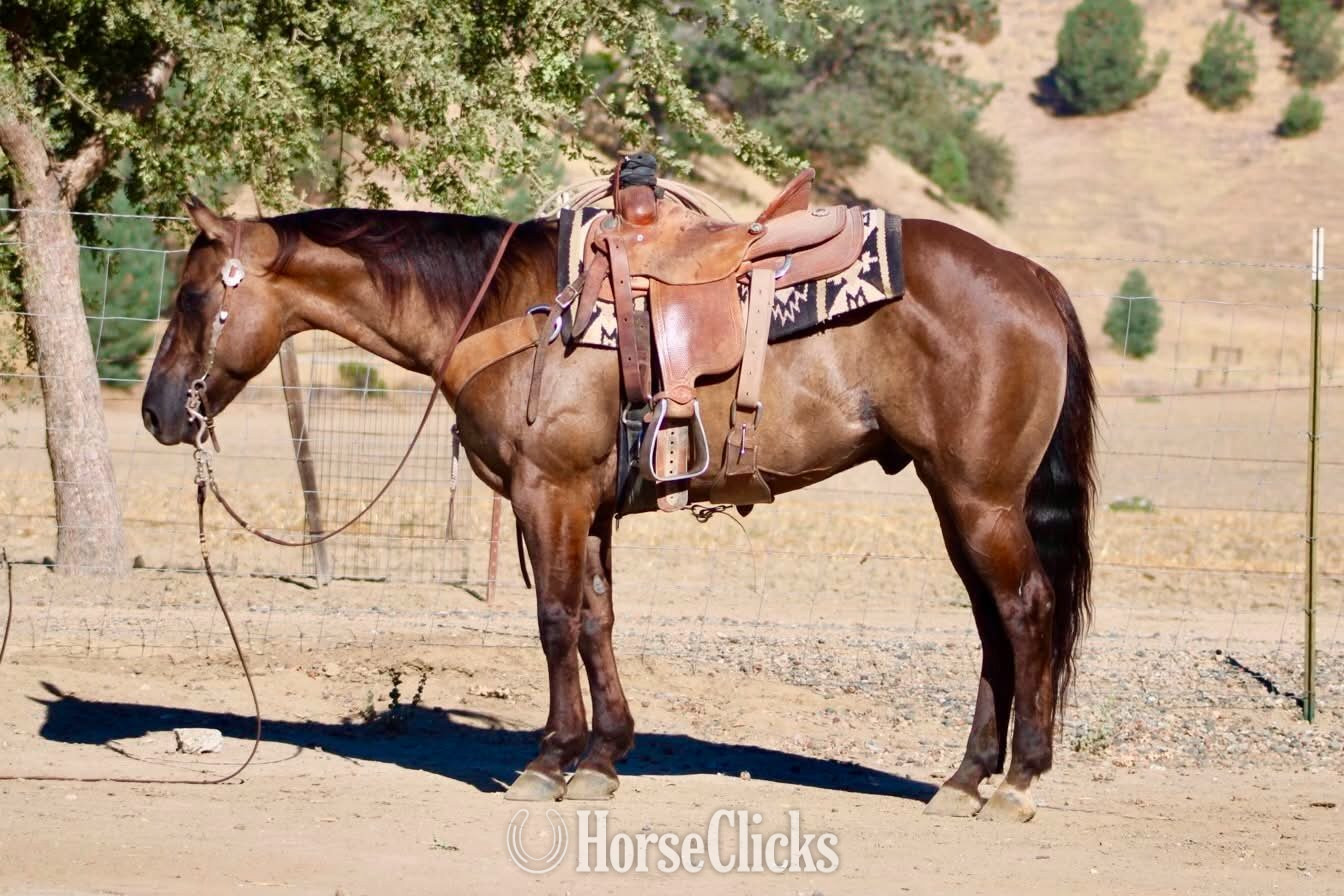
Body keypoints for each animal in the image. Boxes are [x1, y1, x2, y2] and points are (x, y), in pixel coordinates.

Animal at [141, 193, 1095, 823]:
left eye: (192, 297)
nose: (156, 412)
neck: (505, 310)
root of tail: (1033, 276)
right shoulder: (590, 506)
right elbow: (597, 619)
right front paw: (603, 756)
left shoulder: (549, 491)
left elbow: (556, 619)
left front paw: (549, 759)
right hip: (955, 498)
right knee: (992, 627)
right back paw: (966, 778)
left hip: (980, 499)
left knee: (1025, 611)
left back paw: (1016, 783)